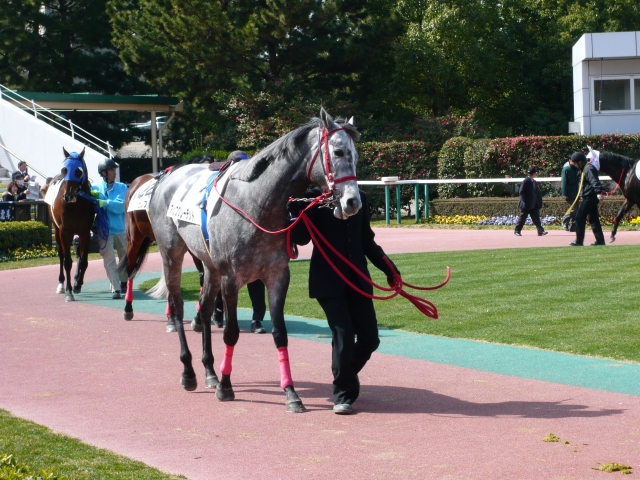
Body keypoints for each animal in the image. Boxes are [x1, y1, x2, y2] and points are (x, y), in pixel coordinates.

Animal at [48, 148, 97, 302]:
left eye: (78, 171)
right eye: (64, 170)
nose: (67, 196)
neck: (76, 205)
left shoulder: (85, 232)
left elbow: (84, 260)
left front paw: (77, 284)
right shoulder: (65, 231)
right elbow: (67, 261)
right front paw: (69, 291)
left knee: (79, 256)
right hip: (56, 230)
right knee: (61, 256)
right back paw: (61, 285)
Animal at [136, 109, 361, 413]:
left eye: (356, 155)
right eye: (338, 152)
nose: (352, 202)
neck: (257, 204)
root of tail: (166, 176)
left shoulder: (277, 276)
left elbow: (280, 333)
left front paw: (291, 393)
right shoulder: (232, 279)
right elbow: (231, 333)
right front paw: (226, 386)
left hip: (210, 266)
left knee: (205, 309)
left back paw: (209, 372)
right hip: (172, 254)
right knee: (179, 306)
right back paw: (189, 373)